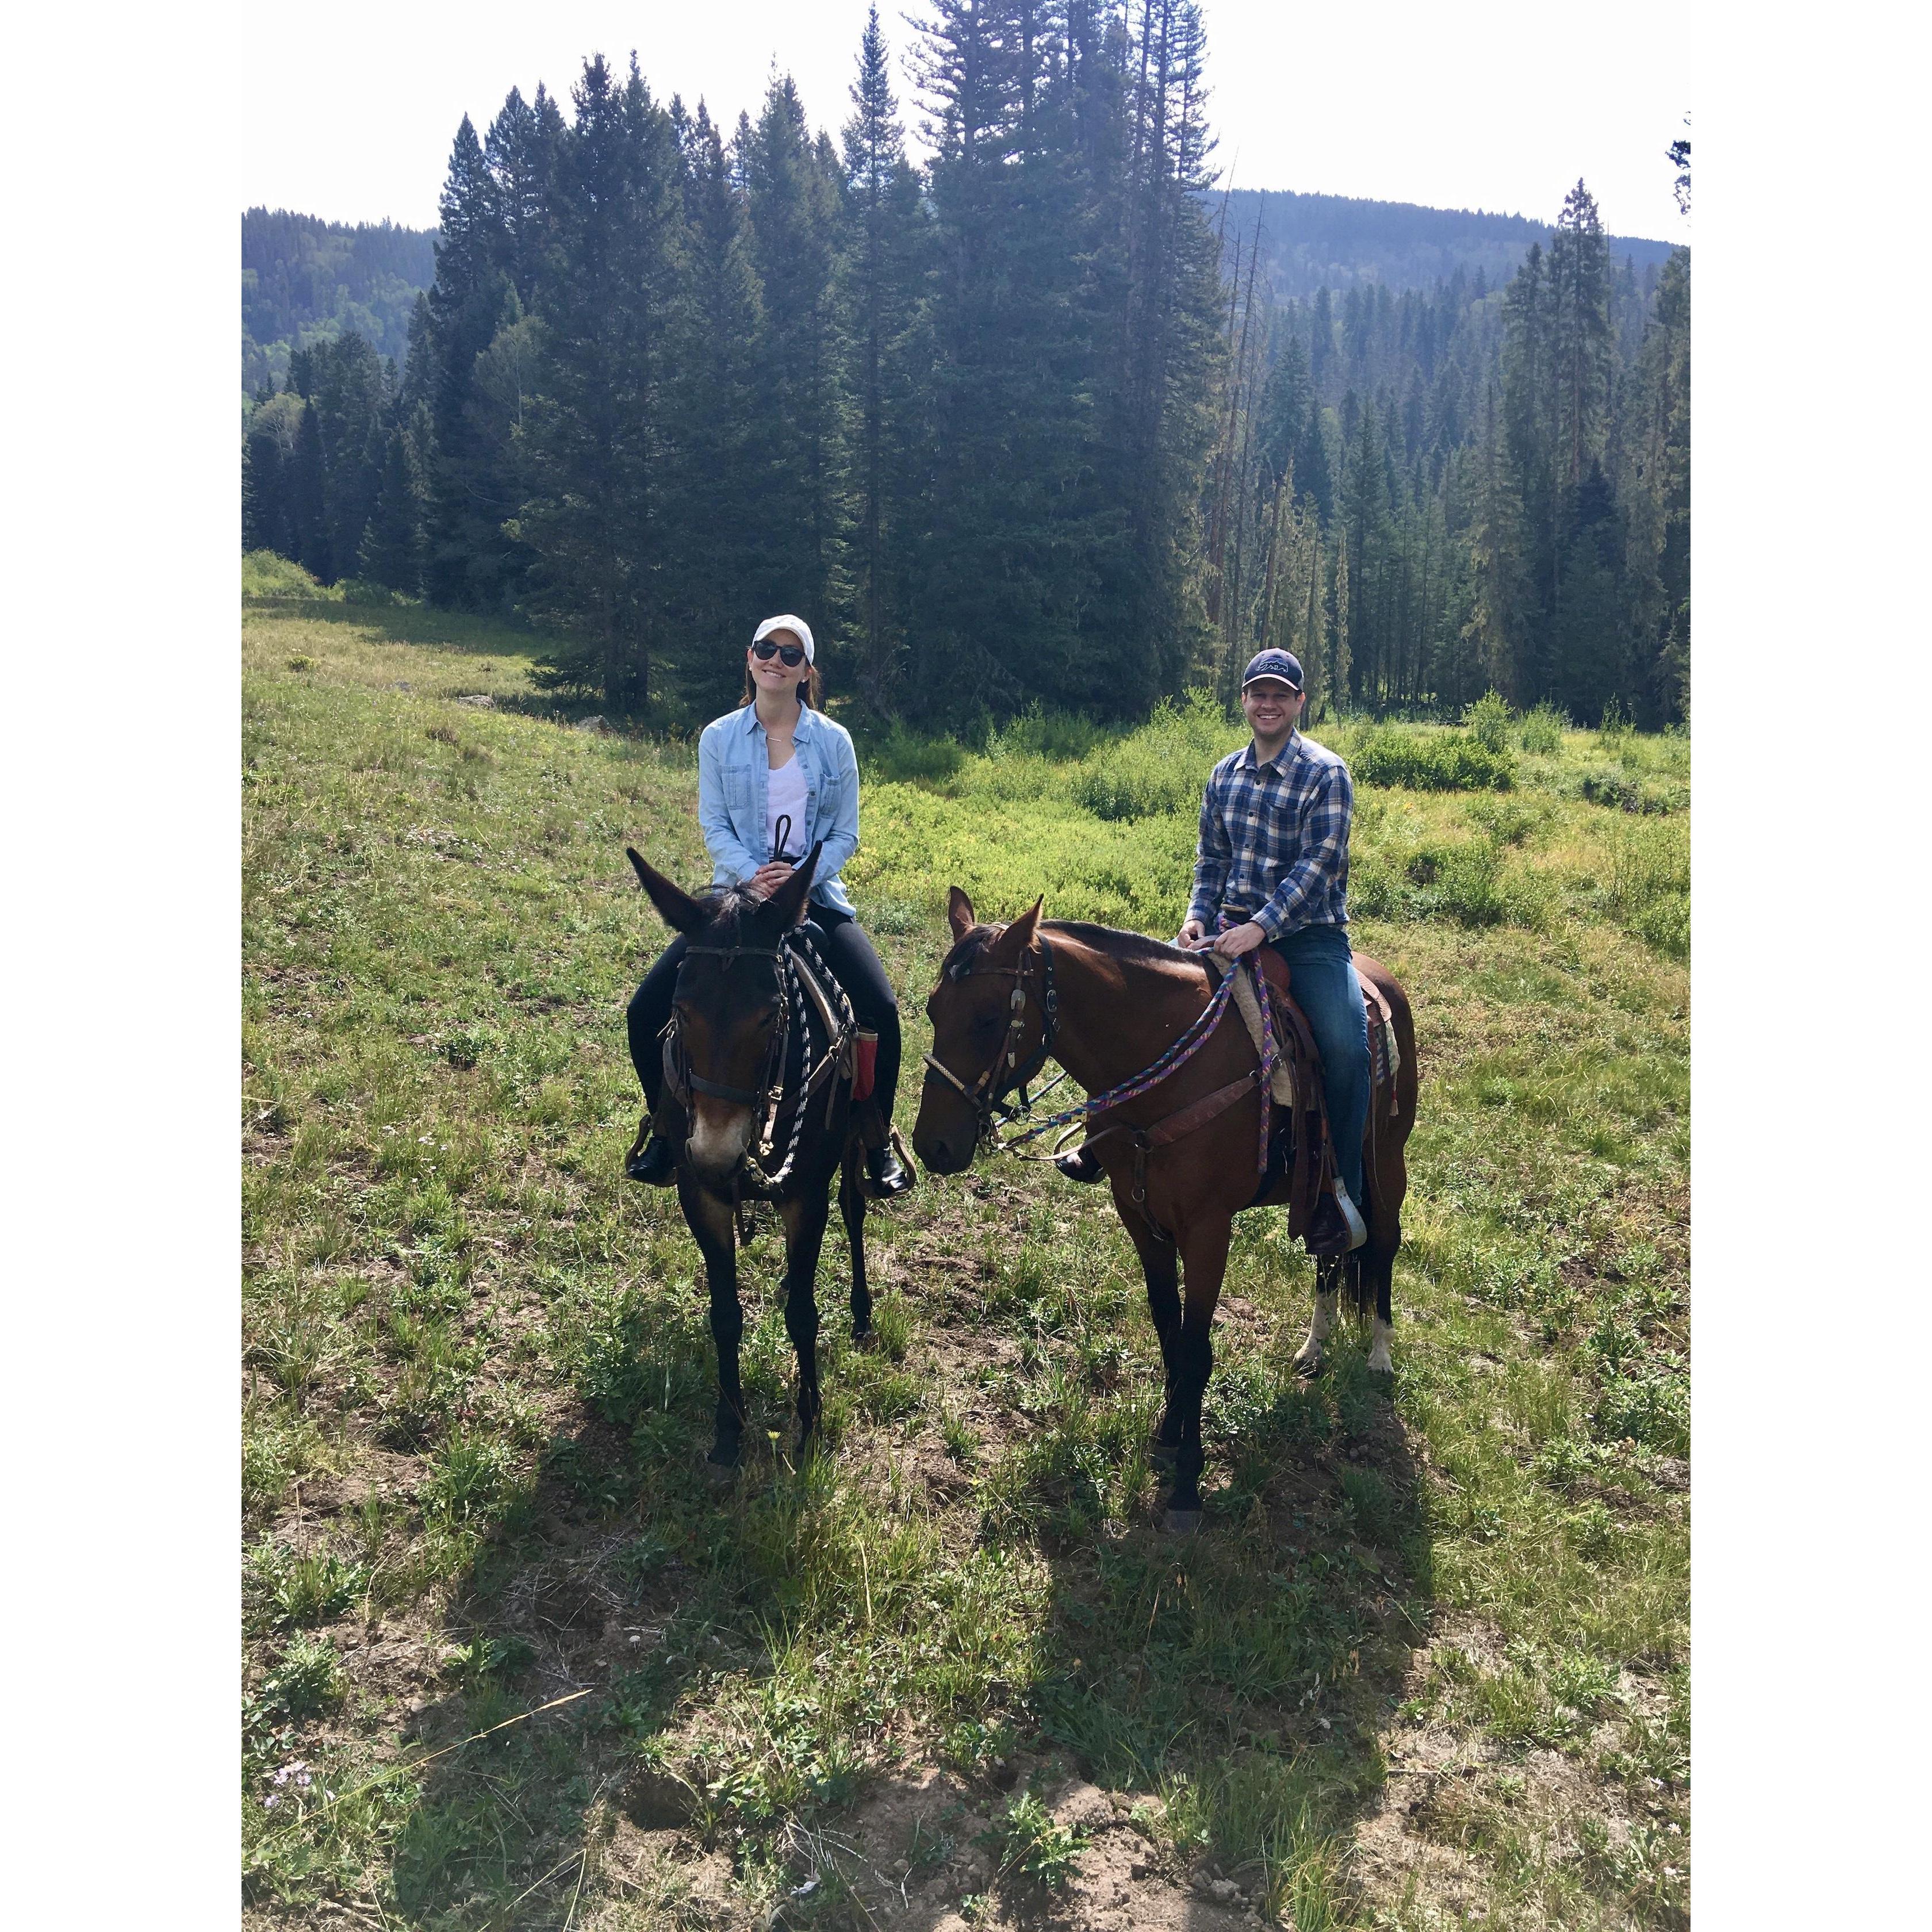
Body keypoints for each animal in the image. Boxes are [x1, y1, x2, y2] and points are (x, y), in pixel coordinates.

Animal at [625, 842, 878, 1478]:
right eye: (680, 1009)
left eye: (770, 1014)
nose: (717, 1154)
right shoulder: (702, 1196)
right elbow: (725, 1314)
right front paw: (727, 1432)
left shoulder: (806, 1197)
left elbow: (804, 1316)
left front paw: (809, 1429)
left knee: (855, 1211)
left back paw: (863, 1313)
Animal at [912, 889, 1418, 1533]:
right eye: (932, 1010)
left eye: (986, 1019)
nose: (932, 1146)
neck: (1169, 1076)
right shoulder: (1139, 1215)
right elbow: (1168, 1330)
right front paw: (1168, 1436)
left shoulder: (1208, 1231)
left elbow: (1198, 1349)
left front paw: (1186, 1485)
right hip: (1326, 1185)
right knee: (1332, 1249)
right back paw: (1315, 1346)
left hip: (1386, 1164)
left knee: (1382, 1243)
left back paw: (1379, 1352)